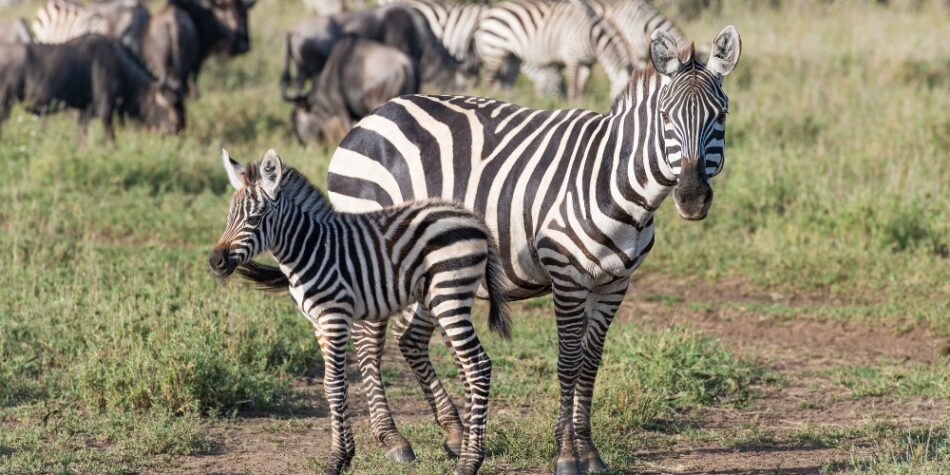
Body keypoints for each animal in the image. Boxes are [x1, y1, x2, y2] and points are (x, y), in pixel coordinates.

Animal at [209, 150, 512, 475]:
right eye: (228, 218)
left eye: (254, 219)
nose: (216, 261)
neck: (310, 249)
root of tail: (472, 218)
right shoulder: (317, 323)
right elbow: (332, 387)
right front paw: (343, 456)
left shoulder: (334, 317)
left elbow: (335, 384)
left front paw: (336, 459)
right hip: (440, 297)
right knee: (467, 365)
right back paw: (464, 446)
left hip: (449, 295)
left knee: (478, 365)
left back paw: (469, 462)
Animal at [328, 27, 744, 475]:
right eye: (666, 117)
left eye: (720, 117)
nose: (692, 198)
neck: (616, 181)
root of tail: (376, 113)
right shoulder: (566, 276)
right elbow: (568, 362)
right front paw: (566, 454)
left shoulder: (615, 284)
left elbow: (590, 364)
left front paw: (589, 451)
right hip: (375, 248)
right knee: (370, 340)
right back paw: (393, 439)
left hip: (430, 260)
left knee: (409, 339)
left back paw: (454, 434)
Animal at [474, 0, 632, 100]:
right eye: (624, 92)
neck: (592, 37)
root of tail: (489, 13)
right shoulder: (572, 57)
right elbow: (572, 85)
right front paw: (573, 102)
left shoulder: (587, 63)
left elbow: (582, 85)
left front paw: (582, 101)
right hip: (494, 48)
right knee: (488, 79)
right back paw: (491, 96)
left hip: (513, 56)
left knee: (509, 81)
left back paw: (509, 98)